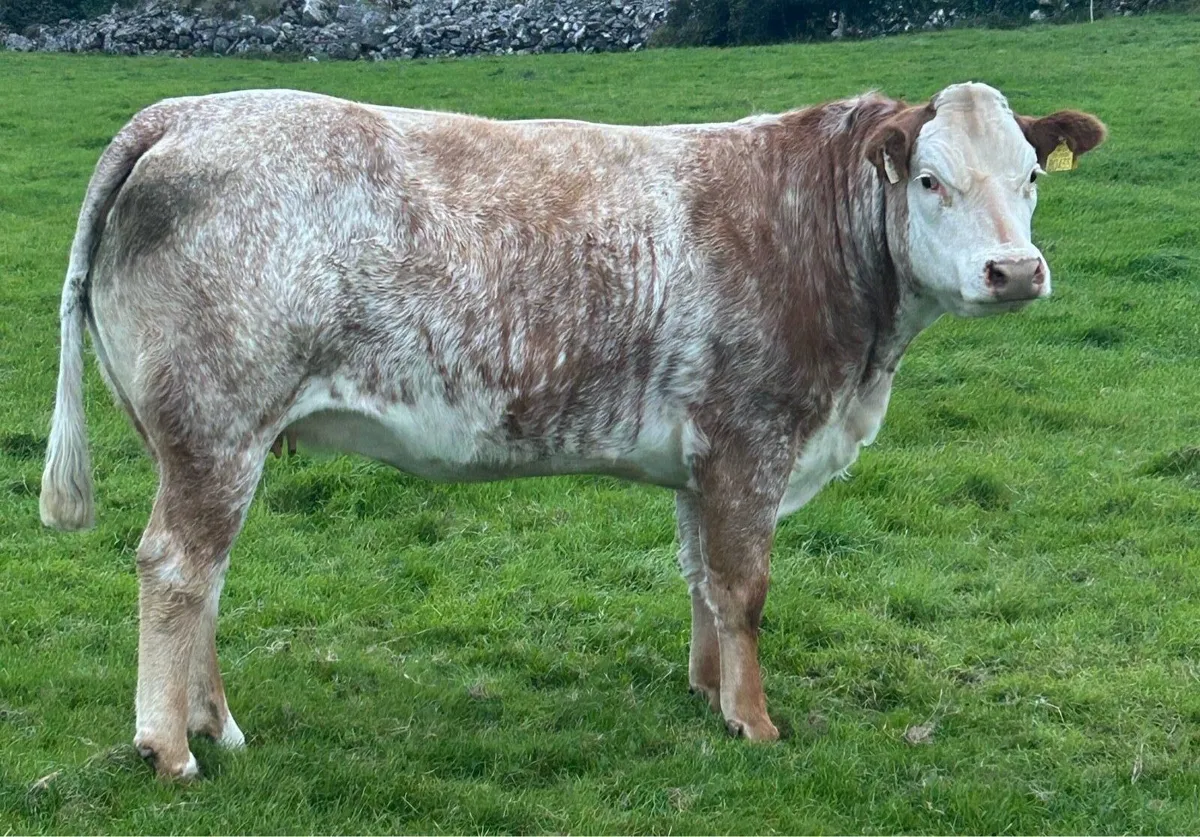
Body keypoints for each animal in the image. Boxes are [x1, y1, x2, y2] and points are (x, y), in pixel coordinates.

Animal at [39, 82, 1105, 779]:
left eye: (1031, 175)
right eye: (929, 180)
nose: (1016, 270)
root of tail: (184, 113)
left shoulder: (701, 456)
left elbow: (702, 578)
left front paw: (707, 693)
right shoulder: (752, 436)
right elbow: (745, 588)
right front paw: (756, 723)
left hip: (202, 437)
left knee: (207, 576)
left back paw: (216, 726)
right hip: (216, 422)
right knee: (177, 567)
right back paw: (168, 747)